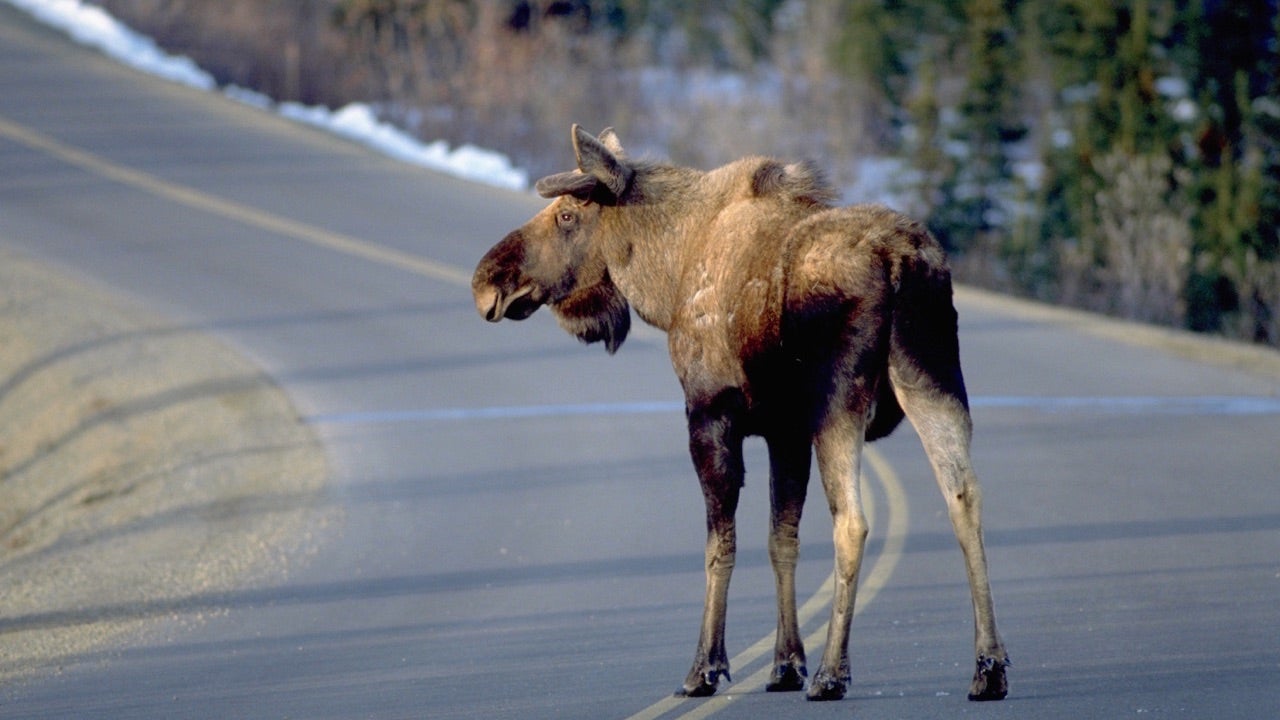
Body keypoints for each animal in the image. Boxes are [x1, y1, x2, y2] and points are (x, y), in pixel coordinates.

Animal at [471, 125, 1008, 702]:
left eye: (568, 215)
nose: (487, 280)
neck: (666, 275)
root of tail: (899, 262)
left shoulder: (710, 414)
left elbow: (720, 544)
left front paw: (706, 668)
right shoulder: (785, 430)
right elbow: (782, 539)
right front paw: (785, 664)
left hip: (839, 401)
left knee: (853, 522)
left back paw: (832, 672)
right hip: (934, 380)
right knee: (964, 499)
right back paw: (988, 667)